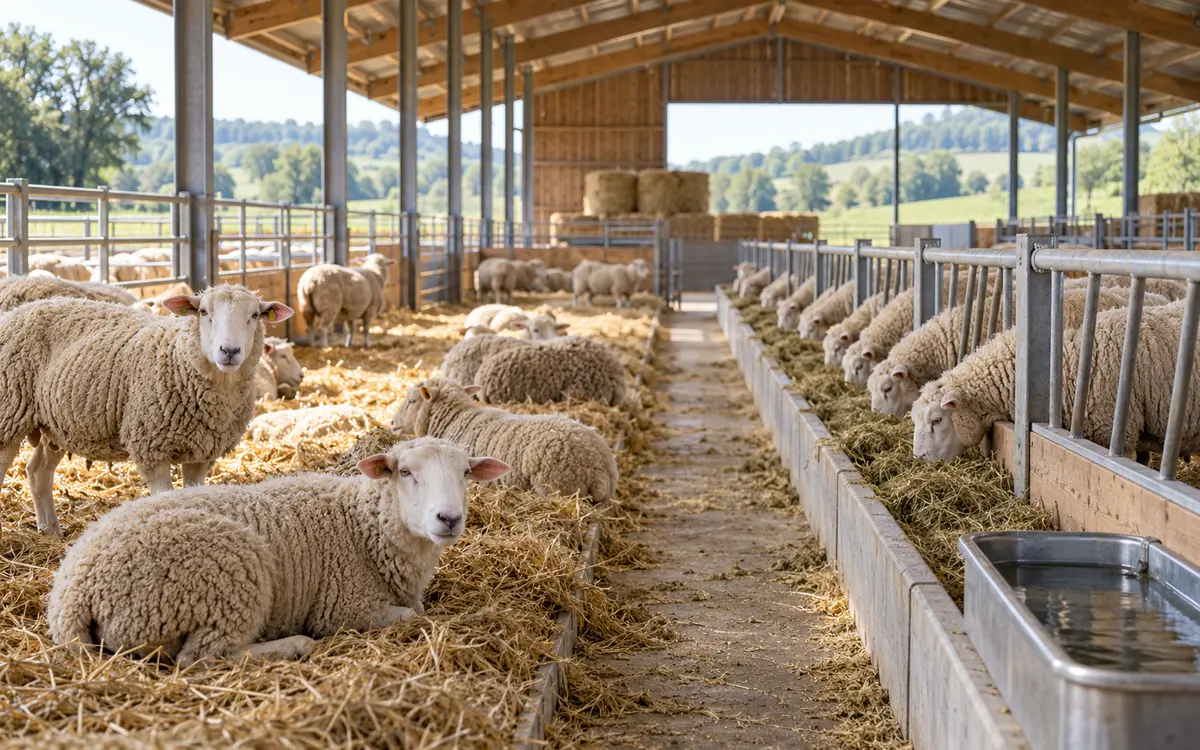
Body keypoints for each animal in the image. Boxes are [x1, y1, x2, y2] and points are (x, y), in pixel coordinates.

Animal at [0, 285, 293, 536]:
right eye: (203, 312)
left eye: (254, 315)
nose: (229, 351)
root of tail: (19, 310)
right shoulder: (151, 448)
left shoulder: (201, 454)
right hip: (9, 409)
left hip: (56, 425)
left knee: (37, 472)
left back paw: (50, 531)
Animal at [46, 437, 509, 666]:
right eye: (406, 472)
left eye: (466, 473)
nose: (448, 518)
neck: (365, 527)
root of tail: (73, 592)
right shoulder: (343, 608)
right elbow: (414, 615)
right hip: (225, 579)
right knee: (199, 659)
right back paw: (294, 646)